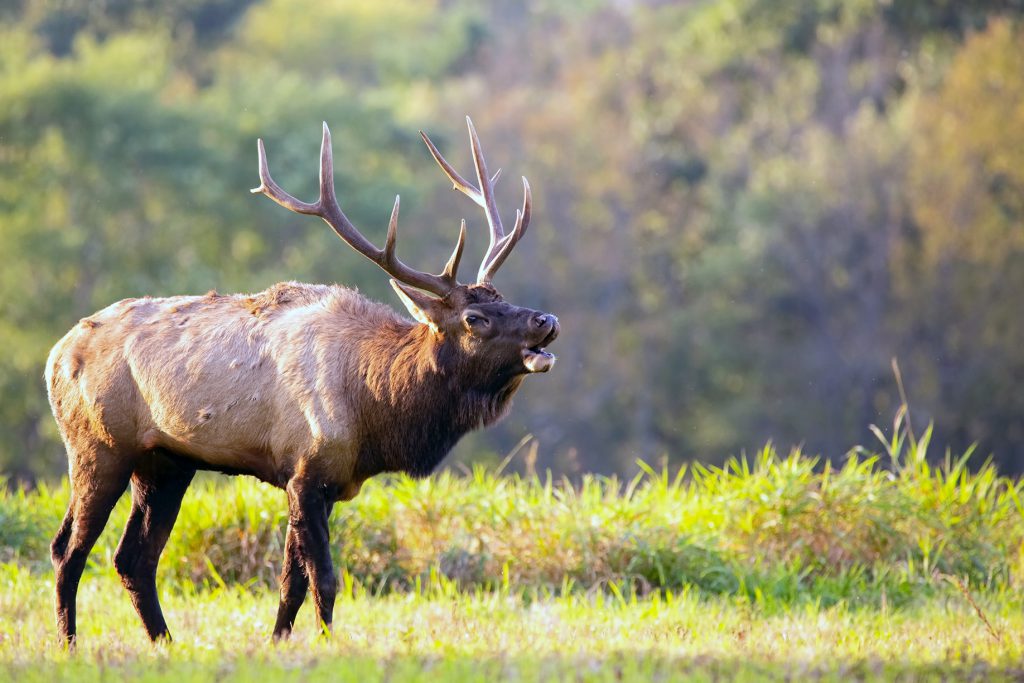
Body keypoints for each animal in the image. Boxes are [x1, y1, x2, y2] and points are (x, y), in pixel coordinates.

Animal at [44, 118, 561, 647]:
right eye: (475, 318)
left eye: (504, 297)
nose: (546, 320)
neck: (376, 410)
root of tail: (56, 355)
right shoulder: (306, 471)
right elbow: (324, 578)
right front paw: (326, 643)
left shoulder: (322, 482)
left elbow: (291, 582)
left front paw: (278, 642)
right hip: (98, 445)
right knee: (68, 549)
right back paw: (69, 643)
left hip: (165, 463)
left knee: (133, 558)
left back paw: (165, 642)